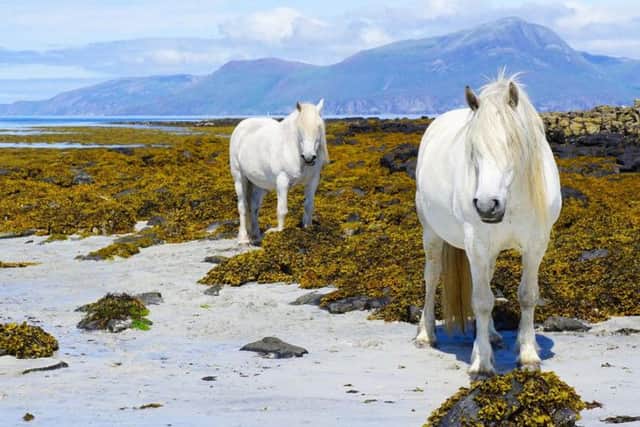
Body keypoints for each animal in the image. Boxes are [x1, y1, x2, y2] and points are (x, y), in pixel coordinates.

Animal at [229, 99, 329, 244]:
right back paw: (243, 238)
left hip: (259, 185)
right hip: (239, 177)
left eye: (319, 127)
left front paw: (307, 229)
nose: (309, 157)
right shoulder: (282, 181)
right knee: (243, 206)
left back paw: (256, 236)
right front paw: (280, 232)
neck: (293, 149)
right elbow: (282, 210)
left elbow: (309, 206)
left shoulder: (312, 181)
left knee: (254, 207)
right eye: (300, 128)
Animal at [414, 74, 562, 378]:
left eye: (512, 144)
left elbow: (527, 296)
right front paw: (481, 363)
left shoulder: (536, 245)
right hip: (432, 234)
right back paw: (426, 334)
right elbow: (481, 301)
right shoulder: (477, 244)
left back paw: (492, 335)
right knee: (432, 277)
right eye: (473, 150)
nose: (486, 205)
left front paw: (527, 354)